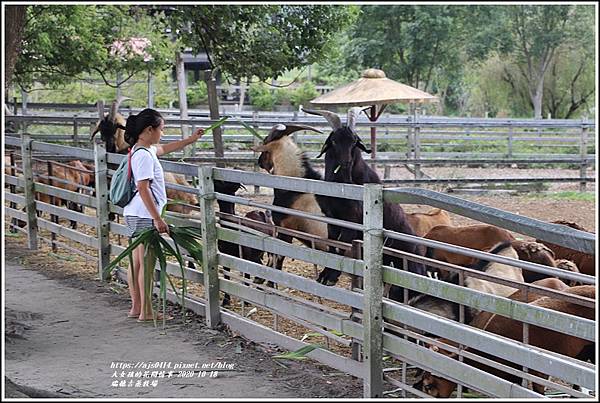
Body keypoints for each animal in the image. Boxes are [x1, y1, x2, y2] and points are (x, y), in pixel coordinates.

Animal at [300, 107, 426, 294]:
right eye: (334, 141)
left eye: (353, 141)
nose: (346, 162)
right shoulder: (332, 220)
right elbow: (332, 246)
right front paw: (325, 275)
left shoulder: (352, 222)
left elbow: (341, 246)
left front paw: (330, 277)